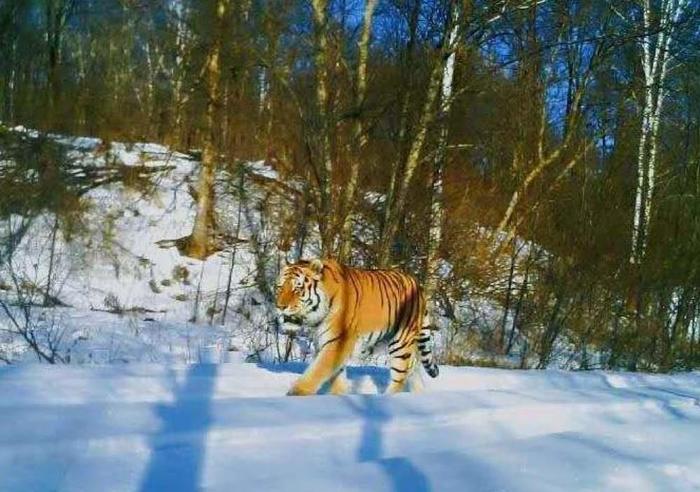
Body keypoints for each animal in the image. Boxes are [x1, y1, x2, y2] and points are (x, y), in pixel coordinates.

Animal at [274, 258, 434, 396]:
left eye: (297, 288)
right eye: (280, 287)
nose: (280, 307)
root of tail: (418, 285)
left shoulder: (337, 342)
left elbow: (316, 372)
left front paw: (295, 395)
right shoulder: (325, 342)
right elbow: (336, 377)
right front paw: (338, 396)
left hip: (401, 342)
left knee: (399, 378)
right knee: (413, 368)